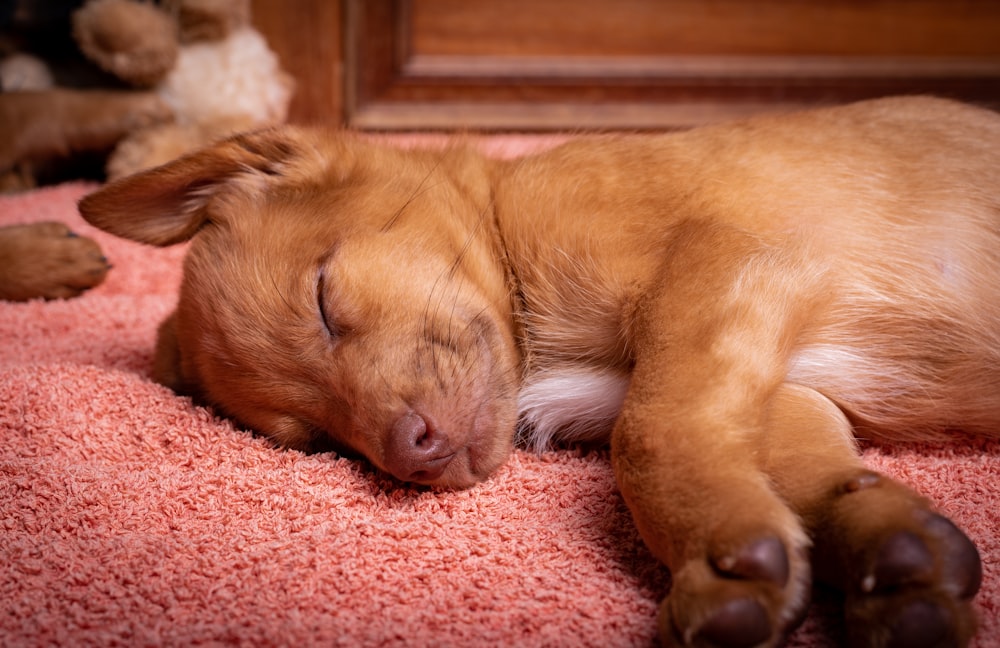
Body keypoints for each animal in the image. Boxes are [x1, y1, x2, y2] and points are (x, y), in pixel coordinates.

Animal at [80, 97, 1000, 648]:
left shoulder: (730, 264)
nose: (411, 456)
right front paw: (894, 559)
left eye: (325, 299)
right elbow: (805, 471)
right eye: (311, 441)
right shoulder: (781, 375)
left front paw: (717, 559)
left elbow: (650, 435)